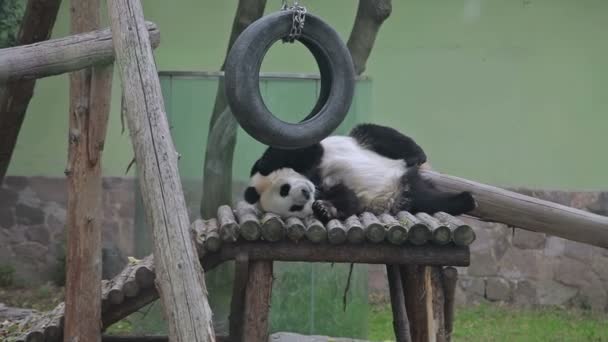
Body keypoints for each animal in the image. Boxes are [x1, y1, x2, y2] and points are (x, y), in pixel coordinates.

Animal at [242, 123, 476, 222]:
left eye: (285, 188)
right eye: (294, 207)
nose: (306, 194)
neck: (315, 180)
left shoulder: (308, 159)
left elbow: (299, 150)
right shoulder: (331, 188)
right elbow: (349, 200)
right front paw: (325, 209)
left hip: (366, 143)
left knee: (375, 133)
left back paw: (417, 155)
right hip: (407, 197)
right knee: (429, 200)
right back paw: (465, 200)